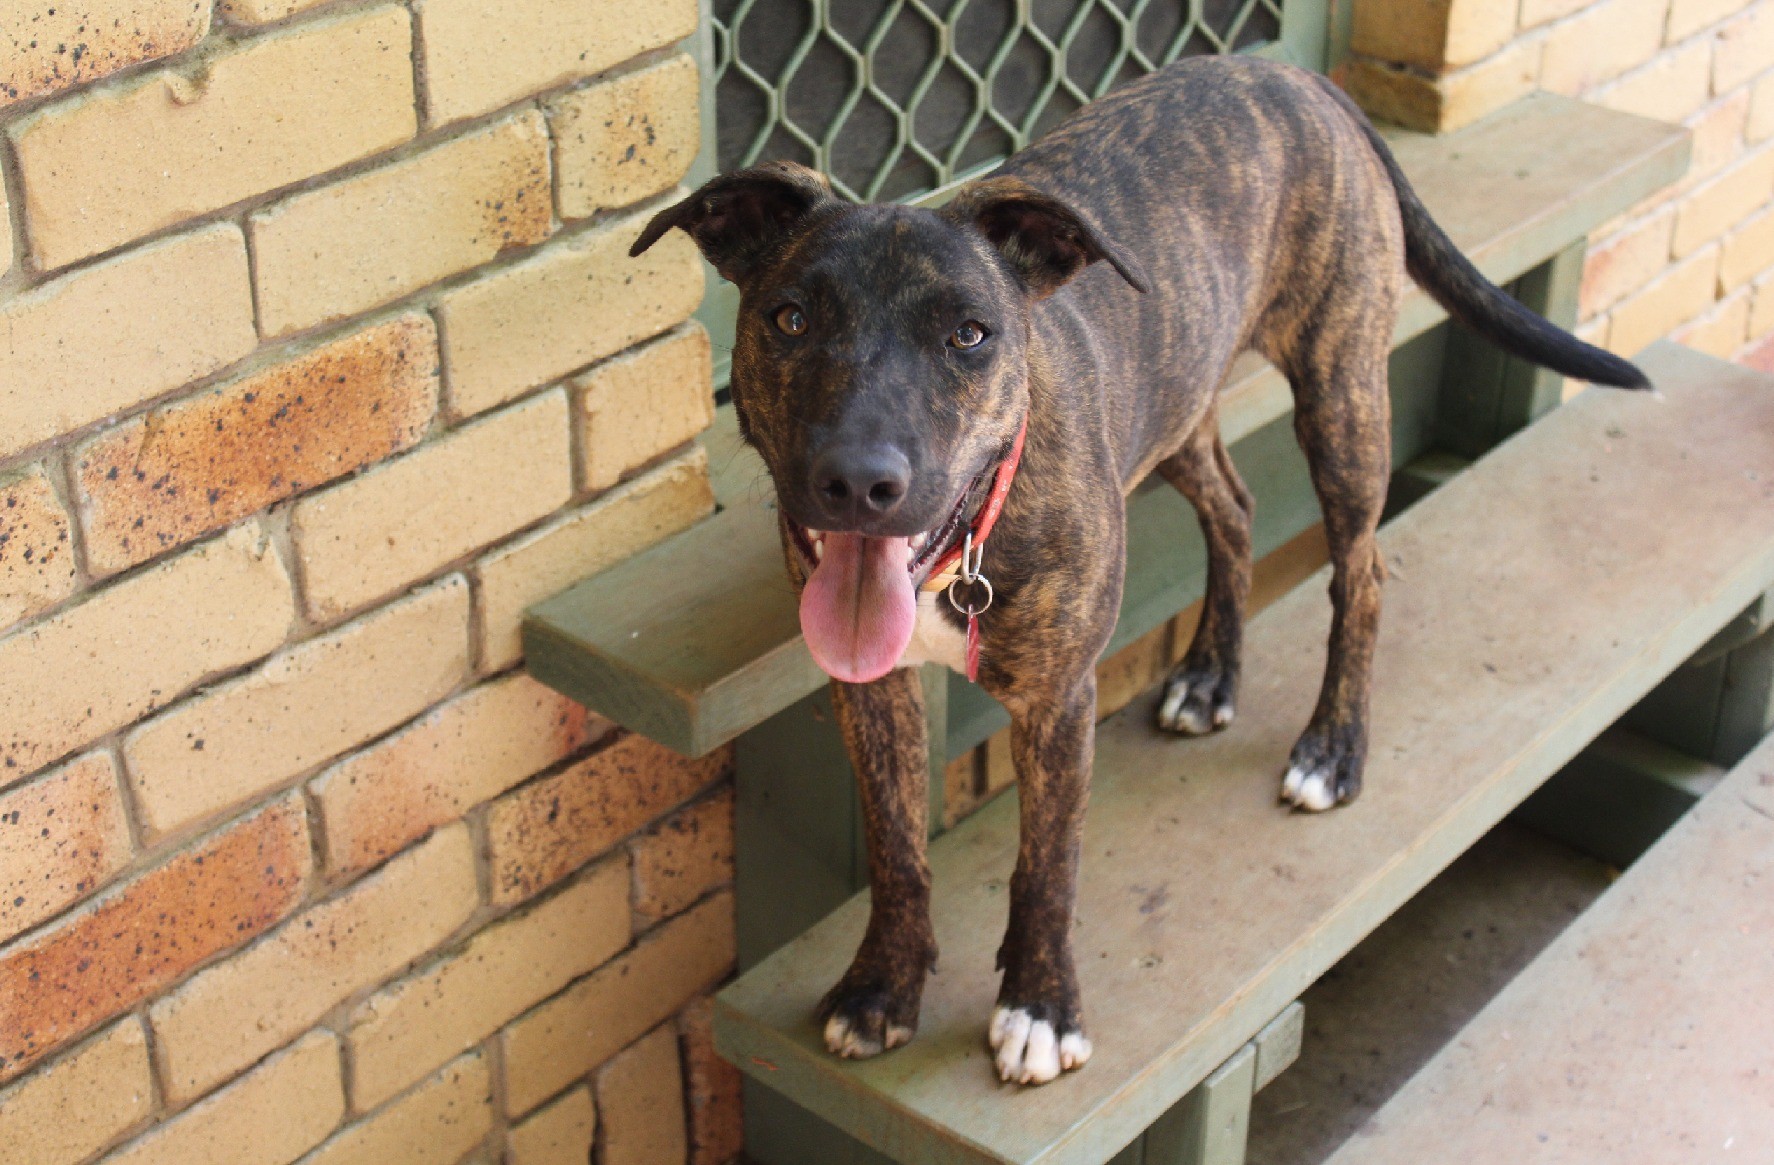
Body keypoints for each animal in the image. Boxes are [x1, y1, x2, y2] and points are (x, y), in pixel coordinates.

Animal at [632, 55, 1648, 1087]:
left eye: (969, 334)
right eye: (791, 318)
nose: (857, 482)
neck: (973, 536)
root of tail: (1292, 71)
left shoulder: (1060, 700)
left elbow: (1047, 864)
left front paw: (1040, 1006)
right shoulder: (870, 690)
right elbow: (896, 844)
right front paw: (884, 984)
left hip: (1343, 395)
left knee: (1359, 574)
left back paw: (1332, 747)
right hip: (1180, 405)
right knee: (1234, 512)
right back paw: (1209, 675)